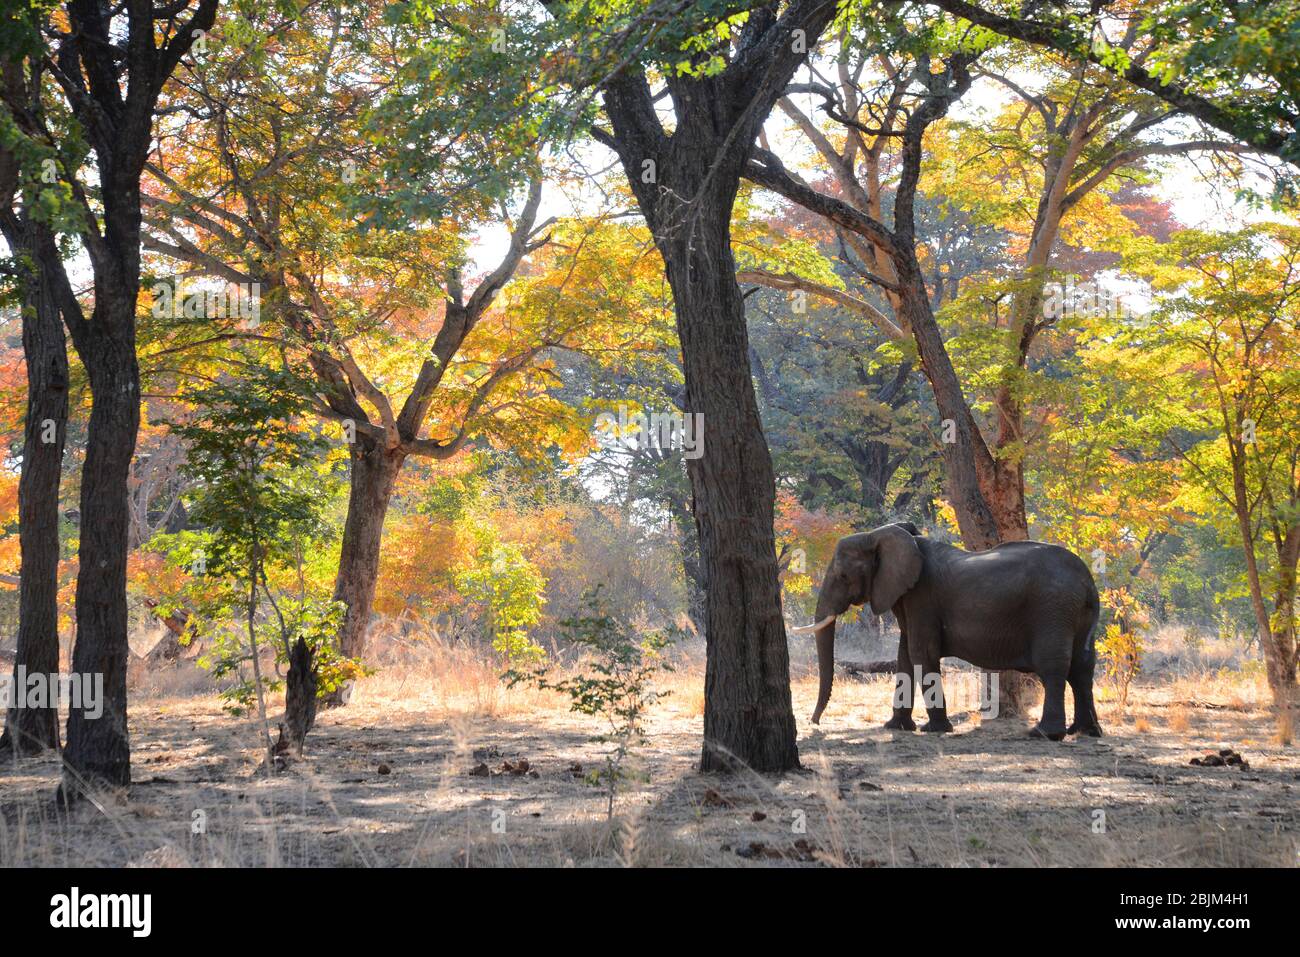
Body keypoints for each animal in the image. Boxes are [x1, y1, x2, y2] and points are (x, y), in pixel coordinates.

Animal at [806, 522, 1102, 738]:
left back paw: (1044, 734)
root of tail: (1088, 581)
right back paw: (1086, 731)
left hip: (1053, 608)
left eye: (843, 576)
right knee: (1082, 667)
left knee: (1053, 666)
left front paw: (934, 730)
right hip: (1075, 613)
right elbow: (904, 657)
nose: (814, 723)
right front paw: (895, 727)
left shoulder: (922, 597)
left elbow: (920, 653)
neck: (879, 535)